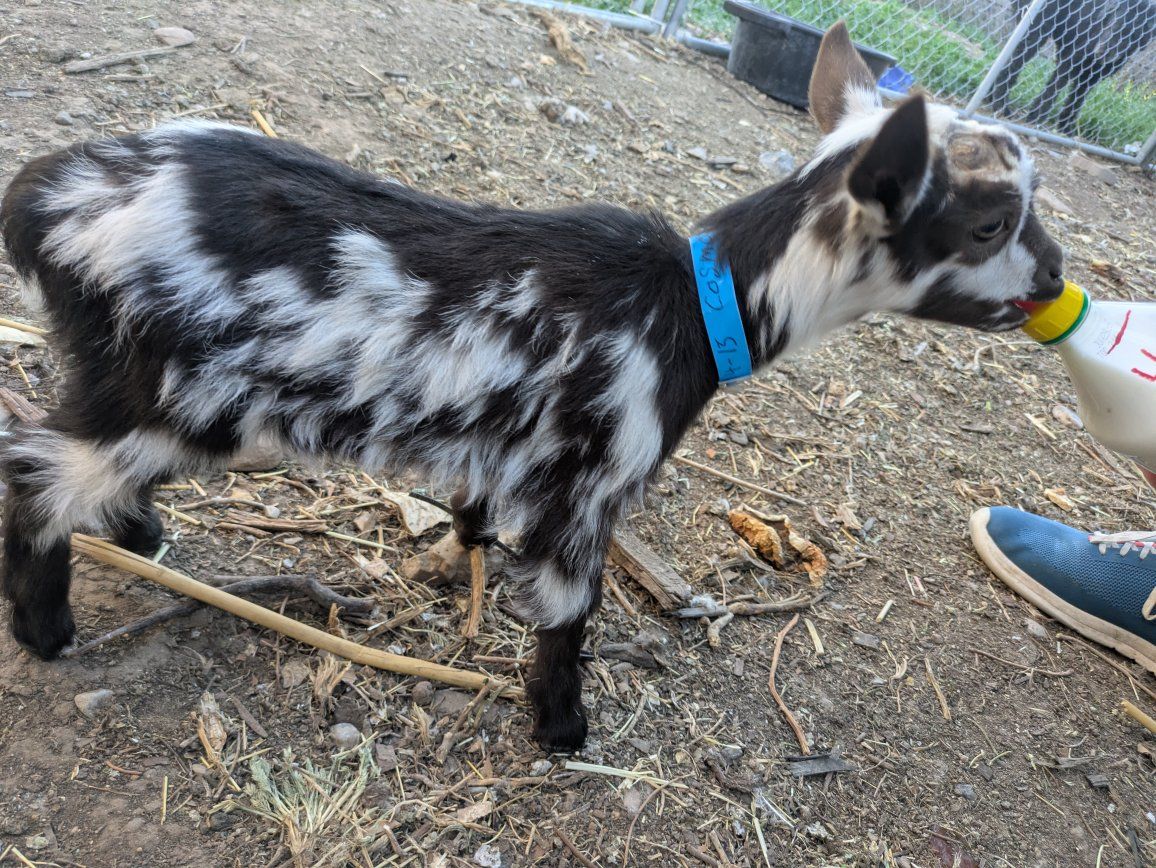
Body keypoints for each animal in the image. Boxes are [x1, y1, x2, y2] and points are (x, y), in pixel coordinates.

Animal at [0, 22, 1063, 752]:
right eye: (988, 225)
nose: (1056, 280)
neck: (694, 305)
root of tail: (51, 198)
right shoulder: (591, 486)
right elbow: (566, 610)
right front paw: (561, 727)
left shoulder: (510, 452)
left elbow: (476, 514)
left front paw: (455, 559)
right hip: (170, 388)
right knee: (38, 469)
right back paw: (47, 628)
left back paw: (138, 533)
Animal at [988, 0, 1155, 135]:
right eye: (1111, 21)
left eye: (1131, 32)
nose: (1101, 51)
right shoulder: (1069, 60)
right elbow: (1053, 89)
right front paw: (1036, 117)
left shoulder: (1092, 77)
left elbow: (1076, 100)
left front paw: (1065, 128)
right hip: (1035, 31)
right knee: (1013, 65)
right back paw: (1000, 106)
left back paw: (990, 98)